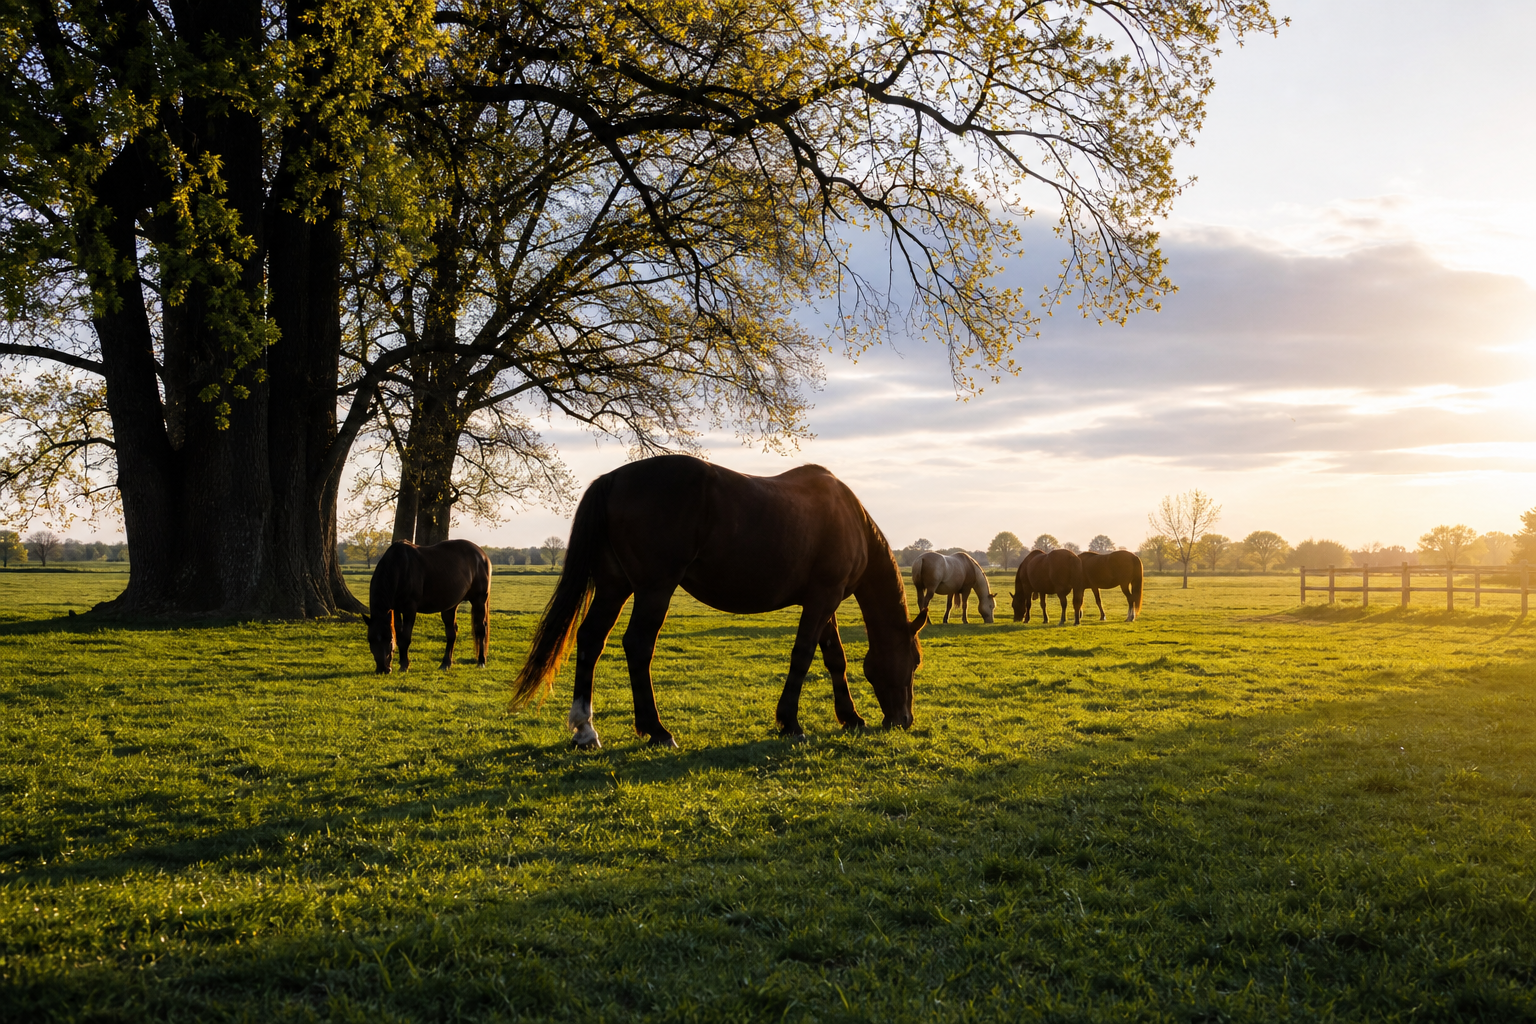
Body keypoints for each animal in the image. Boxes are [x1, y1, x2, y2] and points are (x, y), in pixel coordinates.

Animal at [363, 539, 492, 674]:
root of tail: (482, 555)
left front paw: (404, 665)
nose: (383, 669)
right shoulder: (397, 609)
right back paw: (445, 664)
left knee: (481, 629)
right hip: (450, 606)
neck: (399, 566)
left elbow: (405, 638)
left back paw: (481, 662)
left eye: (388, 639)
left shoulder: (410, 609)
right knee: (452, 633)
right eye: (370, 640)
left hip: (479, 601)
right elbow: (399, 634)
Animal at [511, 455, 928, 749]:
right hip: (654, 588)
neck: (849, 516)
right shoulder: (823, 598)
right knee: (638, 645)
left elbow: (834, 659)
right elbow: (803, 655)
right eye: (915, 661)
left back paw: (586, 730)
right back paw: (657, 730)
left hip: (615, 587)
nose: (903, 720)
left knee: (591, 640)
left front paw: (850, 717)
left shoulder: (823, 601)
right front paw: (790, 722)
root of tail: (612, 479)